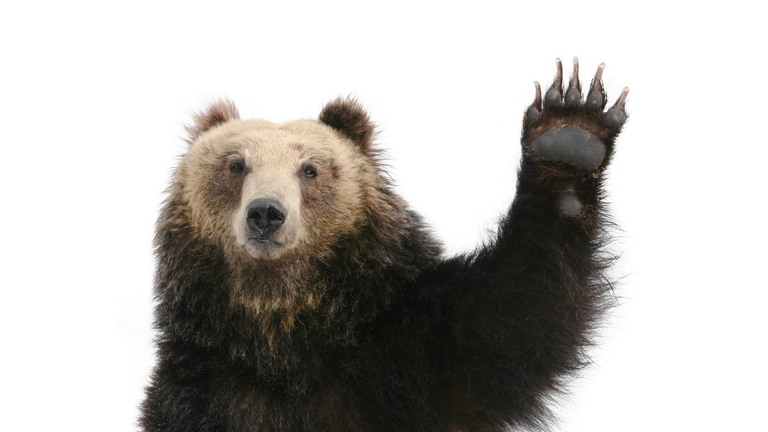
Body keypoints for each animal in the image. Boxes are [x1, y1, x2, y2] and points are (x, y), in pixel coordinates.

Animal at [140, 57, 628, 432]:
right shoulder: (202, 387)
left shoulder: (404, 352)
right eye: (236, 165)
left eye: (310, 169)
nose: (265, 213)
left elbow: (515, 316)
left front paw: (569, 132)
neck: (281, 323)